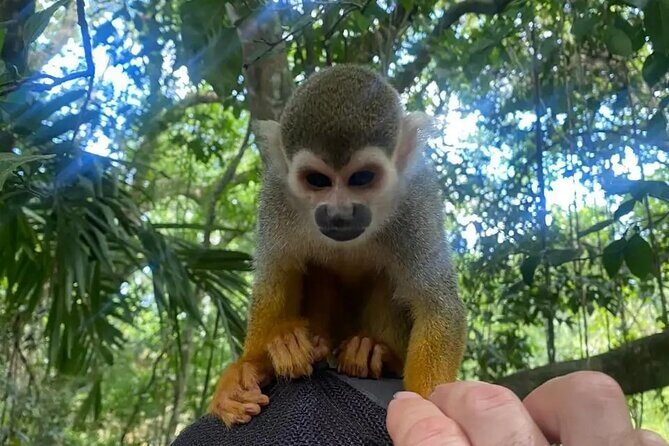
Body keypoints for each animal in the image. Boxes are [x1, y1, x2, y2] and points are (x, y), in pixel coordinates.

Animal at [208, 64, 467, 427]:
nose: (339, 212)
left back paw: (378, 353)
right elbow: (275, 278)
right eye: (318, 181)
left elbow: (437, 306)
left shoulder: (417, 199)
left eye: (362, 178)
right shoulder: (276, 194)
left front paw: (429, 410)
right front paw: (248, 367)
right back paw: (294, 345)